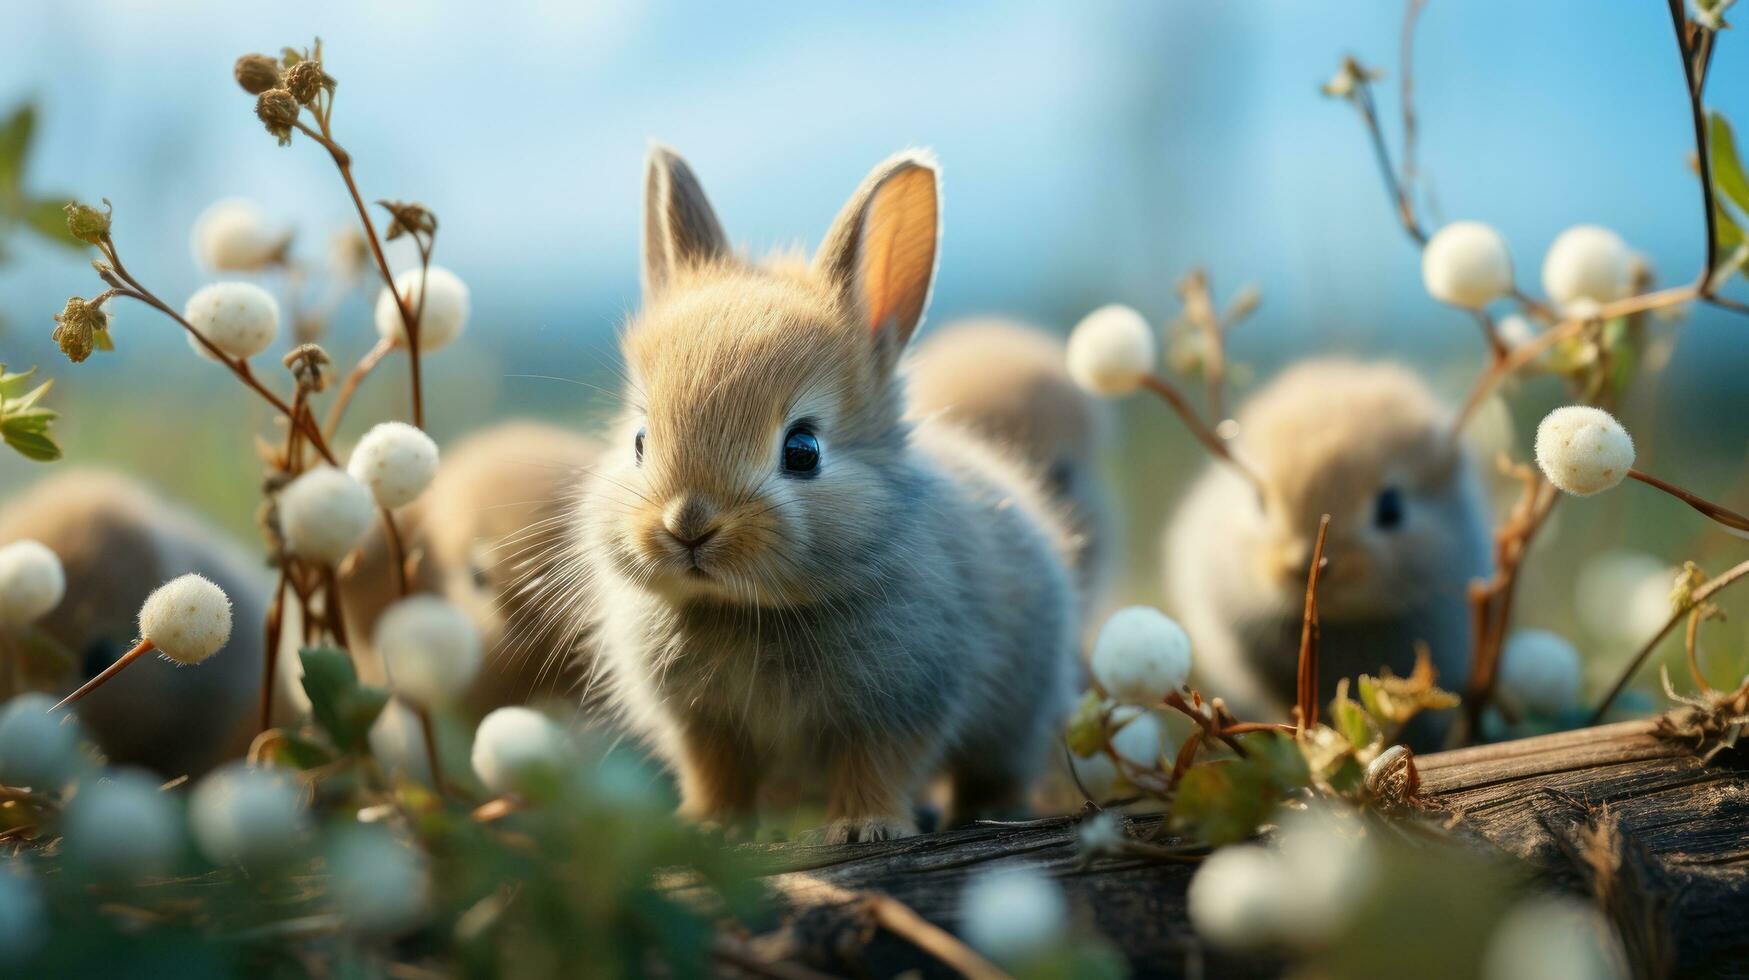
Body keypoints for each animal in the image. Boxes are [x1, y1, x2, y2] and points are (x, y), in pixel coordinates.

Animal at [577, 145, 1077, 843]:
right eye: (640, 440)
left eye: (803, 450)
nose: (689, 524)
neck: (748, 608)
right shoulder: (704, 728)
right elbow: (717, 774)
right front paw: (711, 829)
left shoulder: (901, 704)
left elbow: (876, 766)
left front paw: (862, 828)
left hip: (1018, 720)